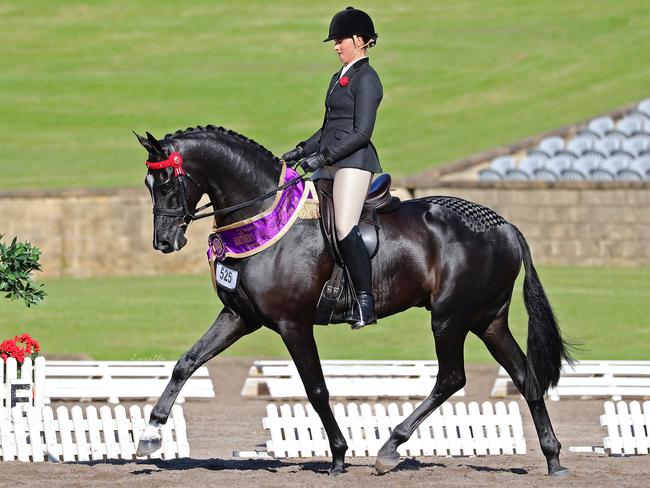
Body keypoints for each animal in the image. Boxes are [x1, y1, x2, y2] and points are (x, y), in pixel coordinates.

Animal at [134, 126, 568, 476]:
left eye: (168, 182)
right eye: (148, 184)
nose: (164, 242)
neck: (264, 215)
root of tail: (504, 225)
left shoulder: (293, 324)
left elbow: (316, 389)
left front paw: (339, 457)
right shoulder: (240, 315)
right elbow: (187, 362)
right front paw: (150, 435)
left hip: (449, 318)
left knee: (452, 378)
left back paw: (390, 448)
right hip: (486, 319)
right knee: (524, 376)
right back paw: (553, 458)